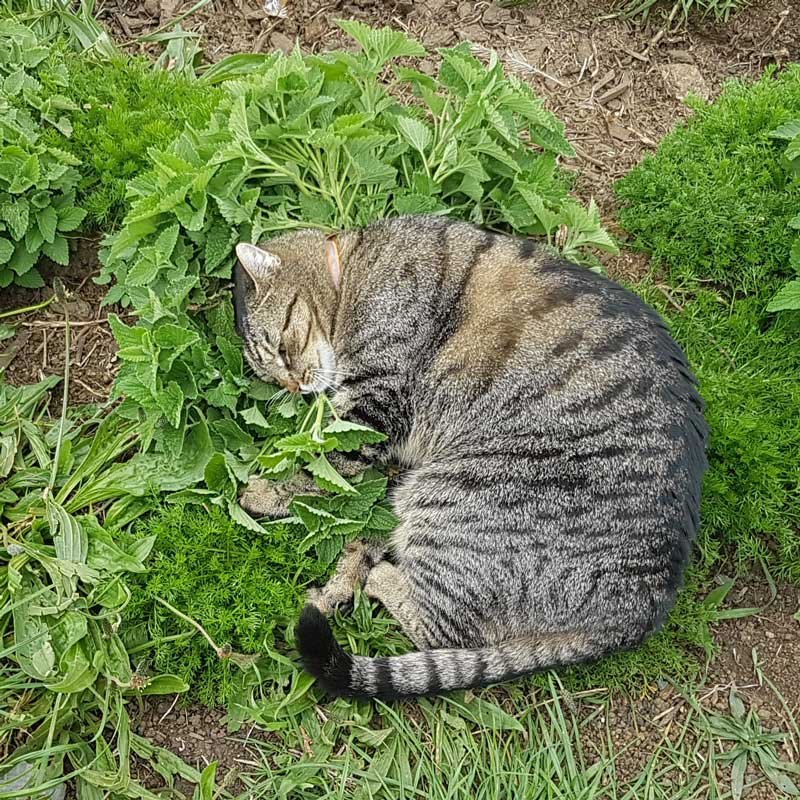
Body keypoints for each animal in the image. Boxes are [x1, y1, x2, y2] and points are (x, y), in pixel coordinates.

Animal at [231, 216, 708, 696]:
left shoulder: (373, 409)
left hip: (449, 493)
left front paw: (265, 493)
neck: (353, 267)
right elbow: (354, 512)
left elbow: (320, 474)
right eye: (270, 375)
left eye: (281, 349)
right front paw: (341, 573)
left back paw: (380, 575)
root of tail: (643, 609)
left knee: (443, 632)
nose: (294, 387)